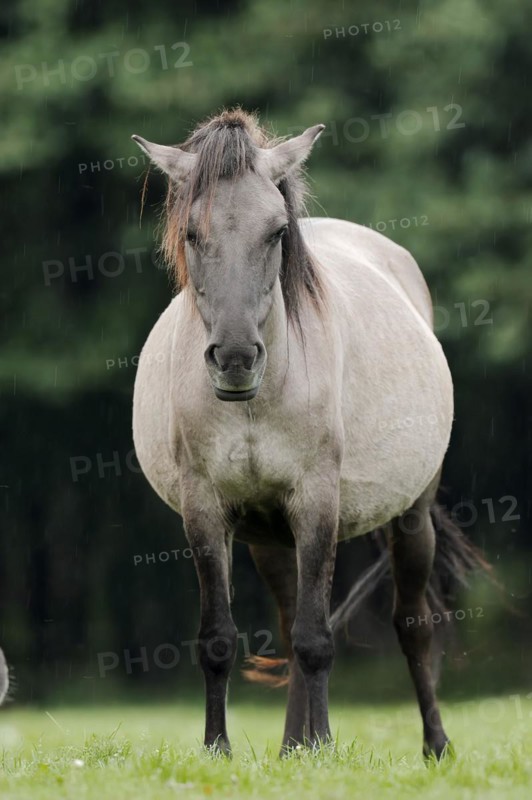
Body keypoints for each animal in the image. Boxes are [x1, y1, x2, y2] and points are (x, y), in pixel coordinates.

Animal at [131, 108, 486, 759]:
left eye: (276, 233)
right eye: (191, 234)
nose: (236, 358)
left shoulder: (317, 502)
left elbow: (317, 639)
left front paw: (321, 745)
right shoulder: (206, 510)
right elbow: (219, 639)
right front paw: (220, 750)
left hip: (412, 516)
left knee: (411, 626)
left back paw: (433, 746)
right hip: (269, 538)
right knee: (290, 616)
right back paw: (294, 746)